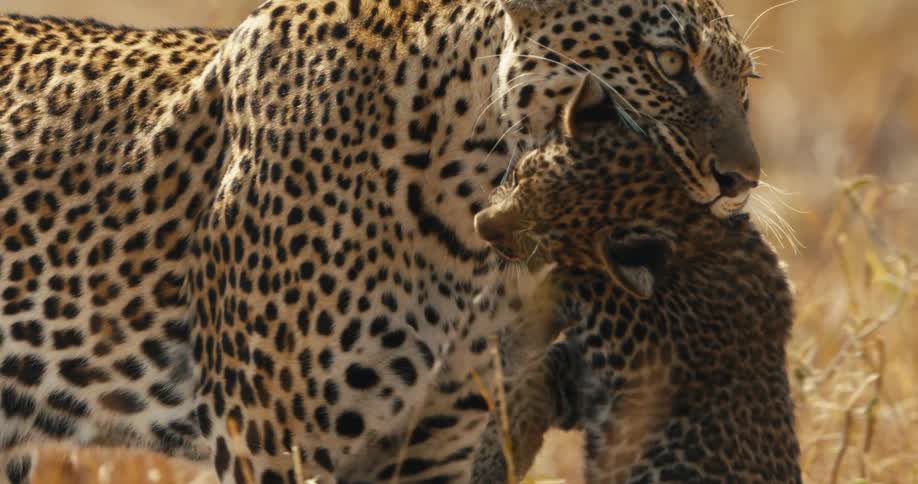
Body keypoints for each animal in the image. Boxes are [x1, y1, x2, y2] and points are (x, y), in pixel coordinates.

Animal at [470, 122, 801, 483]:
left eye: (539, 236)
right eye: (517, 177)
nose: (479, 224)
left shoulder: (649, 341)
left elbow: (582, 281)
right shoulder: (585, 386)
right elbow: (542, 372)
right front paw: (496, 458)